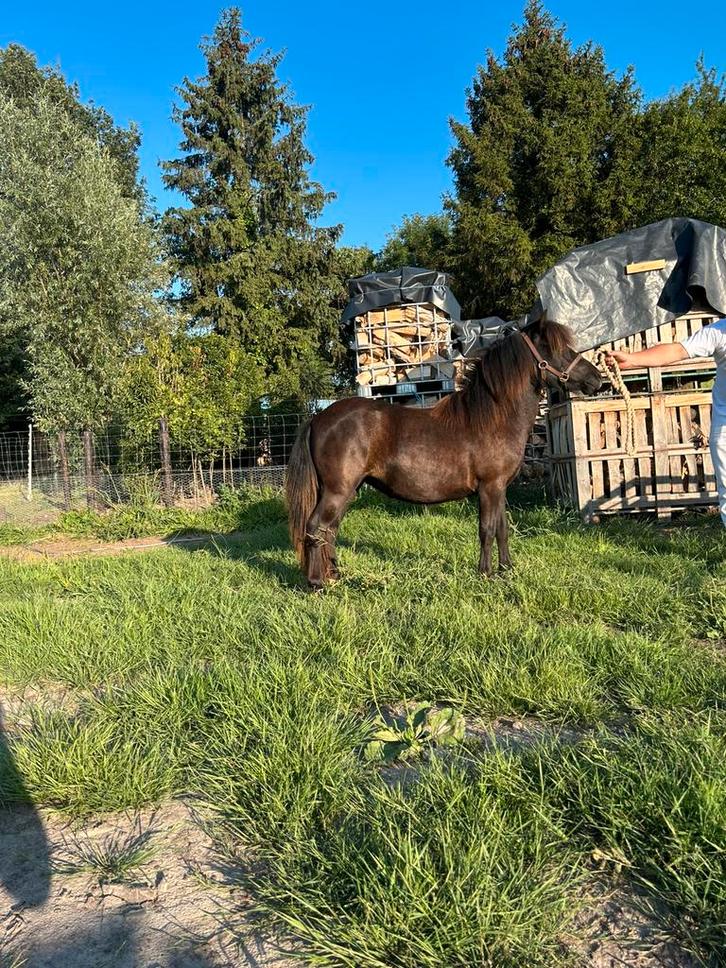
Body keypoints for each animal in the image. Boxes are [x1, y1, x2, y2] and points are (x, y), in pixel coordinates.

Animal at [286, 319, 602, 588]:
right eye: (556, 349)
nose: (596, 379)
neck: (493, 417)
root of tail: (318, 417)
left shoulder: (500, 488)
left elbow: (502, 528)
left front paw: (507, 570)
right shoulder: (489, 487)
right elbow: (486, 529)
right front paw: (485, 574)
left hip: (346, 490)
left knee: (330, 530)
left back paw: (335, 574)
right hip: (338, 490)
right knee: (315, 527)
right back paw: (316, 582)